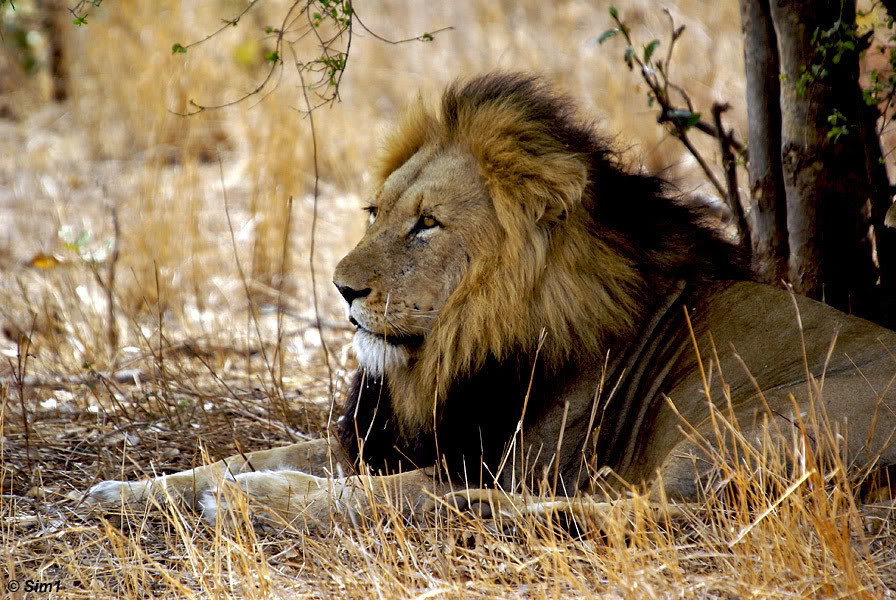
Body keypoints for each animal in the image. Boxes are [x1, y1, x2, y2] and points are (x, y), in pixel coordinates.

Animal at [84, 74, 896, 528]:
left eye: (428, 225)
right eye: (376, 212)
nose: (342, 287)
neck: (455, 346)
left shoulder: (501, 461)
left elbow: (373, 491)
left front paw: (250, 497)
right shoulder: (391, 440)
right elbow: (236, 454)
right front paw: (122, 489)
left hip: (752, 428)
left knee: (632, 510)